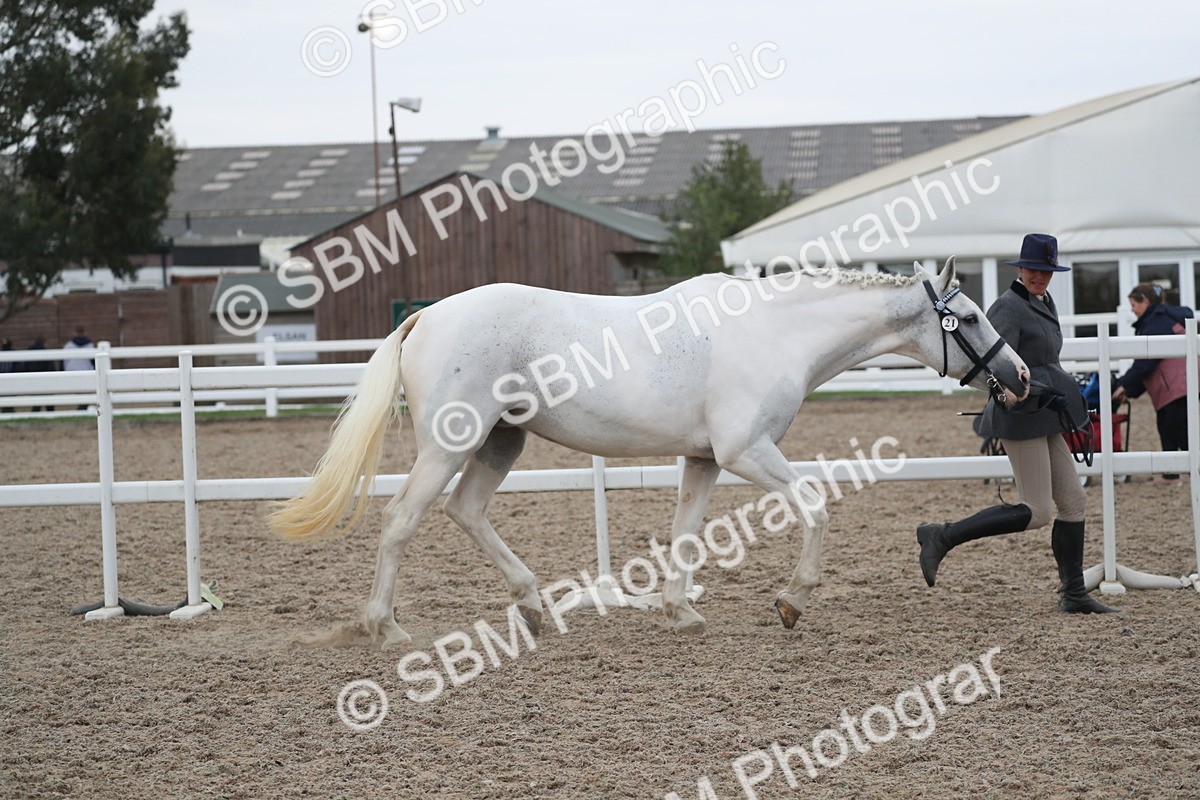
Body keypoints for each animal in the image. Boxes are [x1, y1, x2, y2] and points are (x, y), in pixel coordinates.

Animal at [270, 257, 1030, 647]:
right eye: (968, 316)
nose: (1020, 376)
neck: (775, 332)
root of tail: (428, 314)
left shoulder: (706, 459)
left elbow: (686, 533)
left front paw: (680, 611)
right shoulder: (747, 450)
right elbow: (814, 508)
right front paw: (792, 600)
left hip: (501, 440)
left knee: (467, 512)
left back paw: (532, 607)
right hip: (452, 443)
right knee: (402, 521)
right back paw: (384, 626)